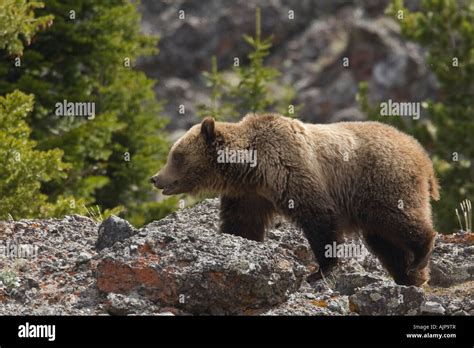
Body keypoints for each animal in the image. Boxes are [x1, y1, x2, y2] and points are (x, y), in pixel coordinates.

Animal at [150, 114, 438, 286]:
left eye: (176, 155)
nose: (156, 178)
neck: (253, 168)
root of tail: (422, 154)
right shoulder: (249, 195)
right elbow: (242, 224)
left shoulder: (291, 168)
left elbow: (318, 216)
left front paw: (319, 270)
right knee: (384, 241)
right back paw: (410, 276)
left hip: (382, 182)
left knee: (398, 219)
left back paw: (420, 255)